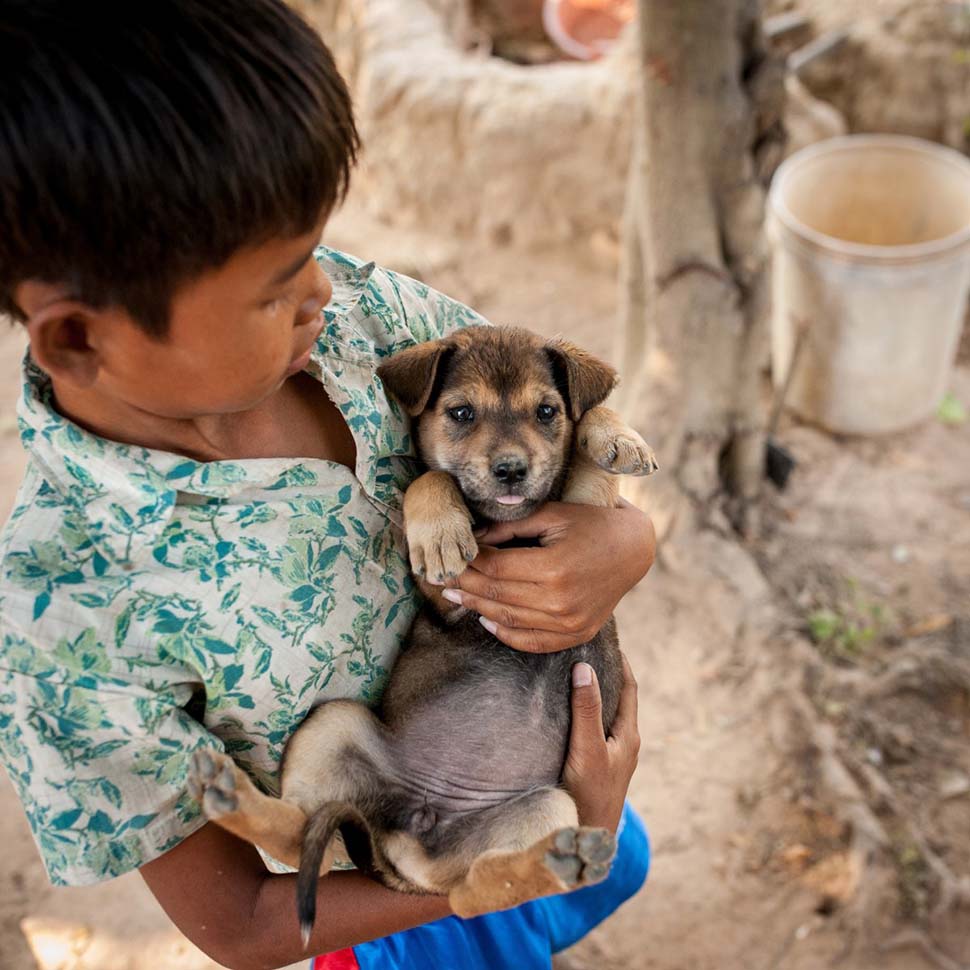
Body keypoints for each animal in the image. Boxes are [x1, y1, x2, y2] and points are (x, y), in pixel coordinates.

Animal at [187, 324, 656, 936]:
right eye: (460, 413)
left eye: (547, 411)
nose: (511, 470)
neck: (503, 522)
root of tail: (415, 831)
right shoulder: (446, 596)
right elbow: (431, 476)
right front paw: (439, 531)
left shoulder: (587, 521)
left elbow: (592, 442)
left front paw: (617, 437)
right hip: (335, 726)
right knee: (314, 842)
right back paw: (233, 799)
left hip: (545, 808)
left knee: (471, 892)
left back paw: (560, 862)